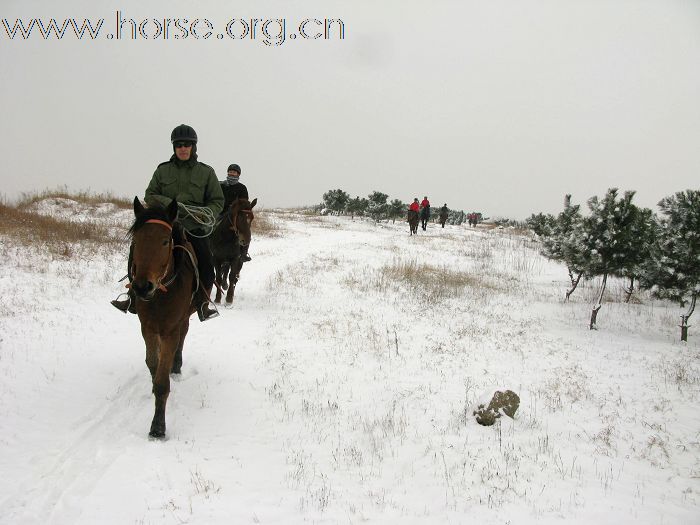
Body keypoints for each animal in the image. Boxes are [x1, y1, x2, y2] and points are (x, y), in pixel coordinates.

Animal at [127, 196, 196, 438]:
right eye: (136, 240)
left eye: (165, 241)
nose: (141, 287)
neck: (160, 294)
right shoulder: (147, 327)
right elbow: (152, 364)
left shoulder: (170, 330)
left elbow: (162, 381)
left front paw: (157, 427)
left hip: (184, 319)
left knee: (183, 337)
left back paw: (177, 365)